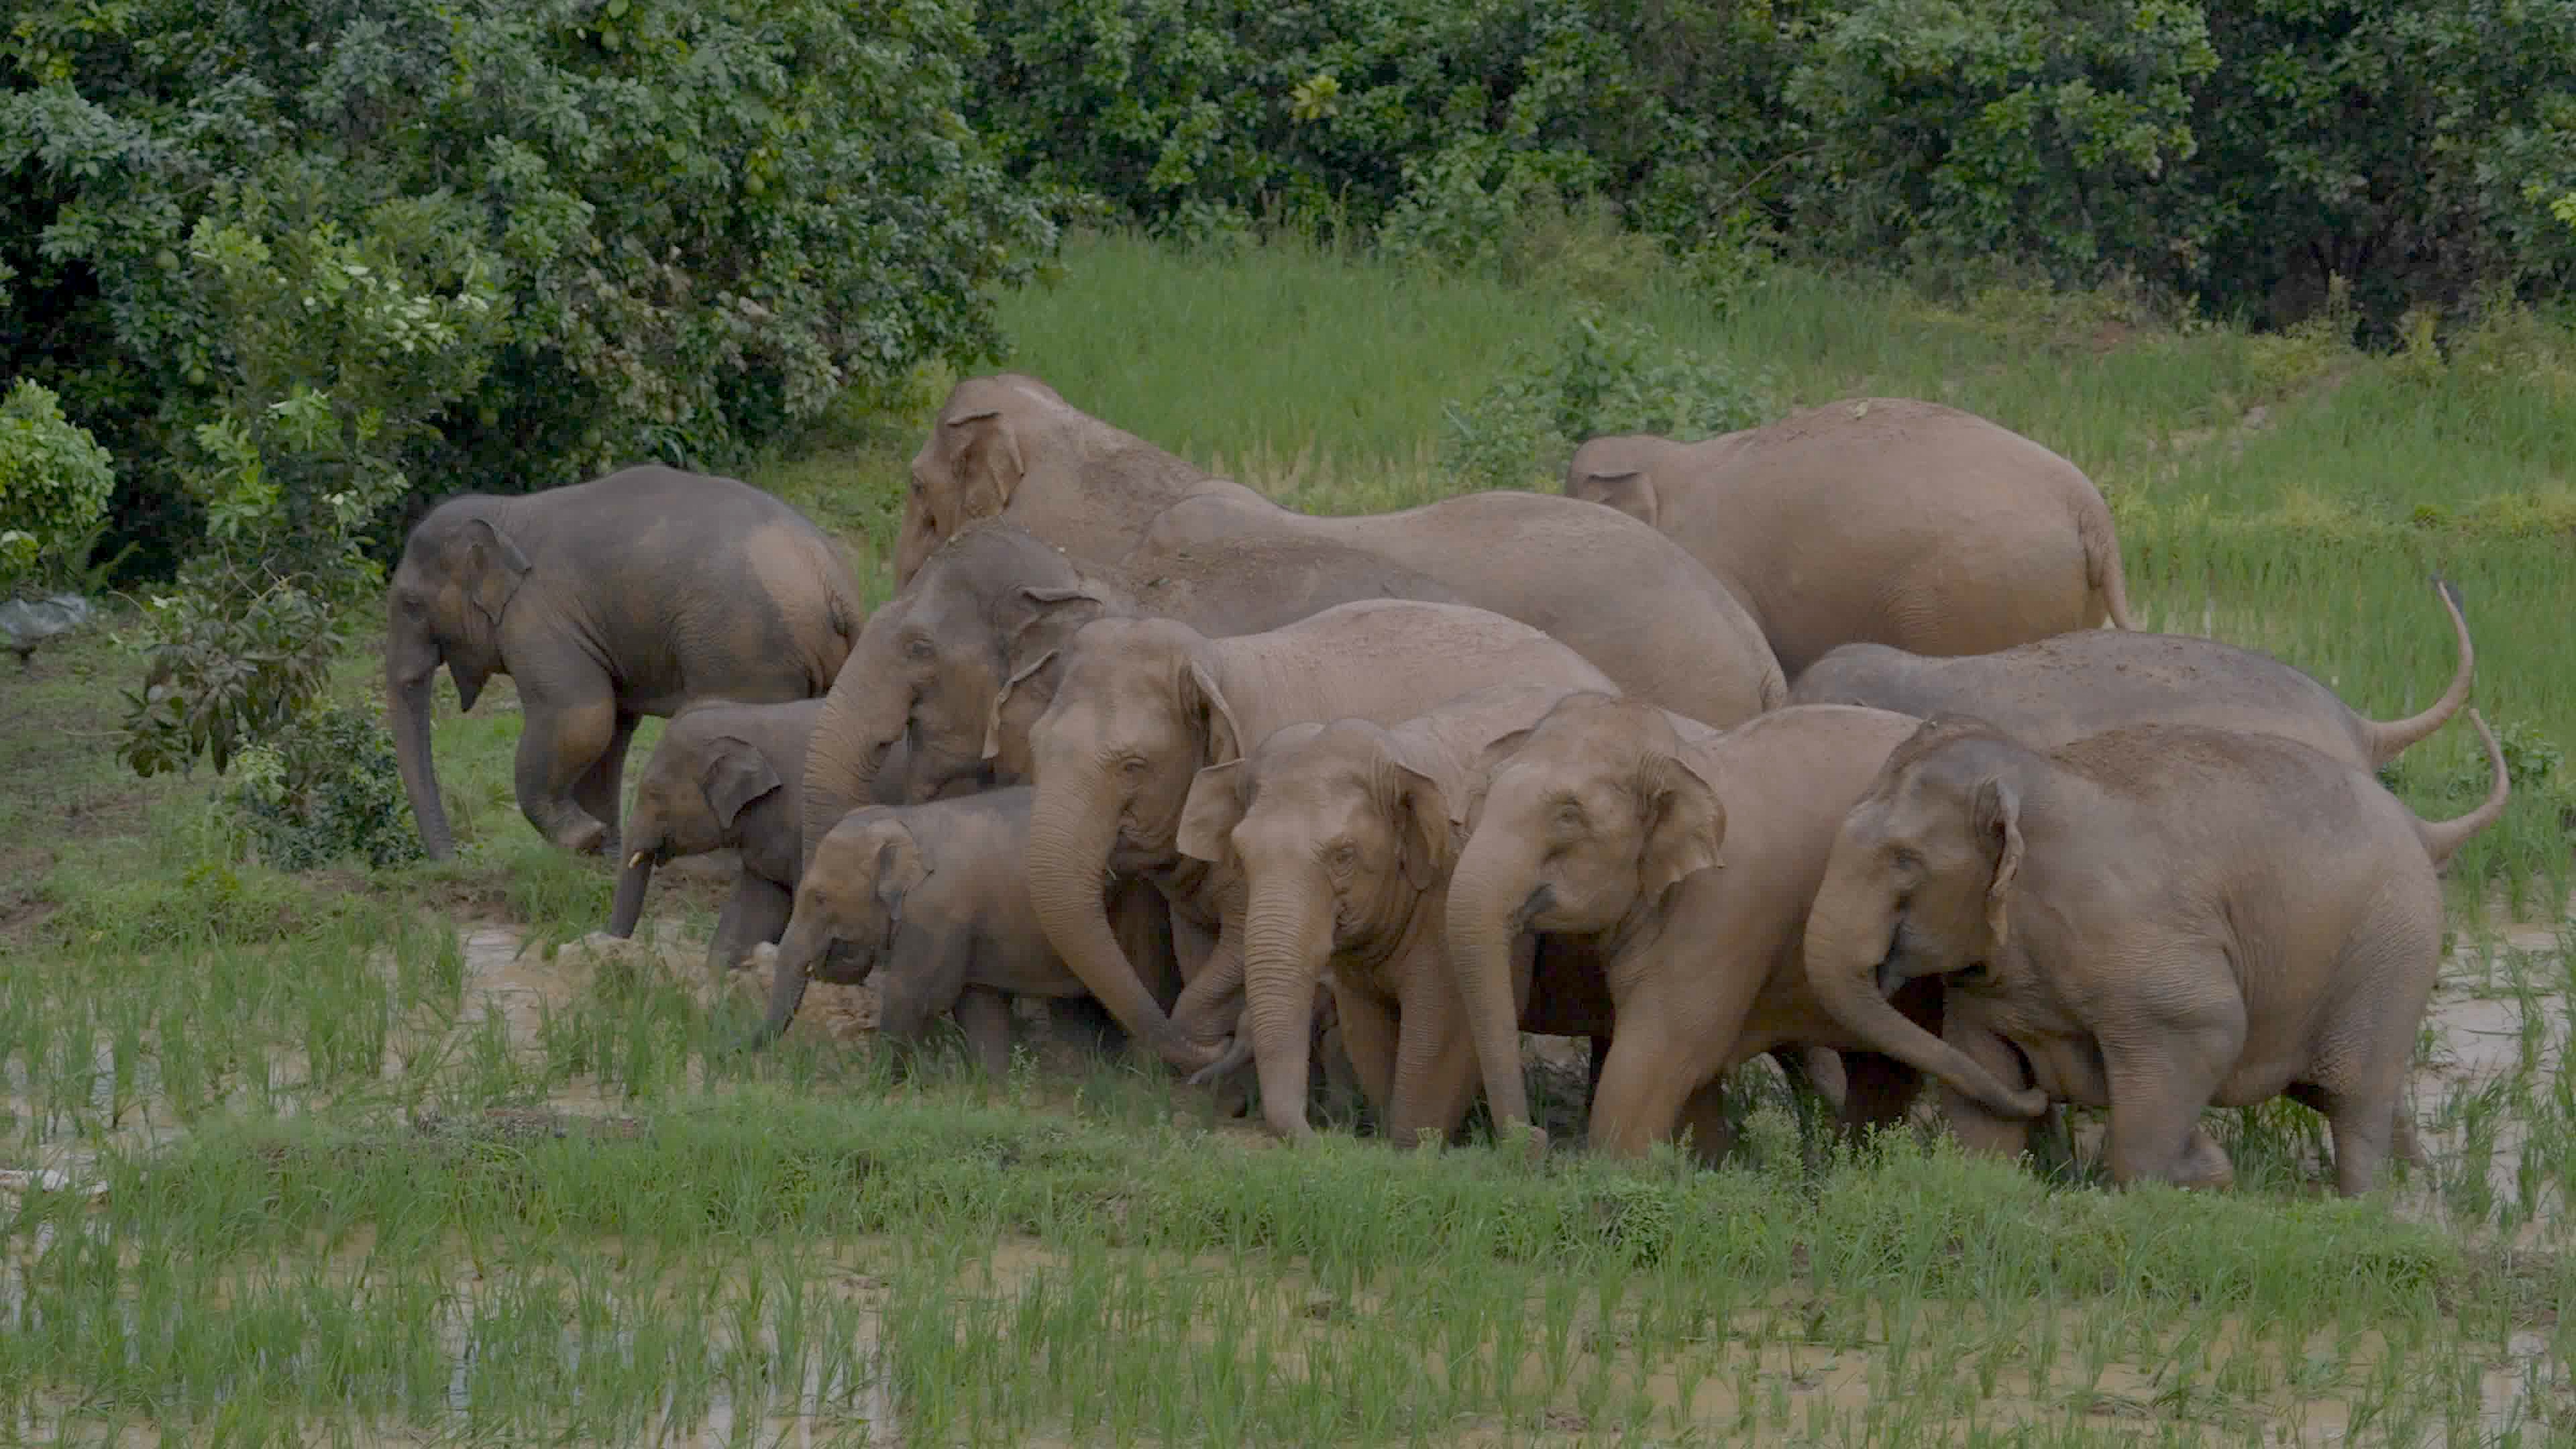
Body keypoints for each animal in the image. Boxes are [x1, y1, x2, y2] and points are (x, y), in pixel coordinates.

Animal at [386, 465, 862, 860]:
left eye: (410, 605)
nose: (451, 860)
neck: (505, 512)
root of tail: (833, 582)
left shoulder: (539, 619)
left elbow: (579, 716)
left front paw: (582, 839)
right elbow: (613, 728)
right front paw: (604, 856)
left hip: (747, 651)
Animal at [1017, 598, 1622, 1074]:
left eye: (1133, 766)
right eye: (1036, 745)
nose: (1214, 1050)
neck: (1221, 662)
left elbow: (1237, 948)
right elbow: (1199, 950)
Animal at [1169, 682, 1623, 1143]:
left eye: (1344, 856)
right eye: (1240, 853)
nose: (1320, 1136)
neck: (1399, 753)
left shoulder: (1451, 885)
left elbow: (1444, 1030)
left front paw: (1412, 1145)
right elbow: (1366, 1026)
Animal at [1444, 694, 1955, 1162]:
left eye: (1568, 815)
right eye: (1487, 793)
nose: (1537, 1140)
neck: (1686, 760)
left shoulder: (1724, 913)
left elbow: (1661, 1055)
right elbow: (1689, 1083)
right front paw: (1702, 1165)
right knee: (1880, 1070)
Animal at [1802, 711, 2510, 1196]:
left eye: (1904, 860)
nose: (2043, 1096)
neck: (2036, 774)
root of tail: (2419, 826)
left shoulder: (2148, 950)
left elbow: (2206, 1028)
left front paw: (2191, 1179)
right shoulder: (1990, 985)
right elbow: (1979, 1075)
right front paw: (1989, 1185)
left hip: (2392, 950)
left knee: (2354, 1097)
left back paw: (2365, 1206)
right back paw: (2419, 1184)